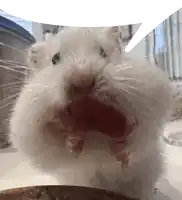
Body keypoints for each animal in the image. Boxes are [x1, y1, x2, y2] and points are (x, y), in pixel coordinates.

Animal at [9, 27, 173, 200]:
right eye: (55, 58)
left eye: (103, 52)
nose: (82, 81)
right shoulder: (31, 130)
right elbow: (58, 140)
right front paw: (73, 142)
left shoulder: (151, 104)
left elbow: (135, 133)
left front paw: (121, 151)